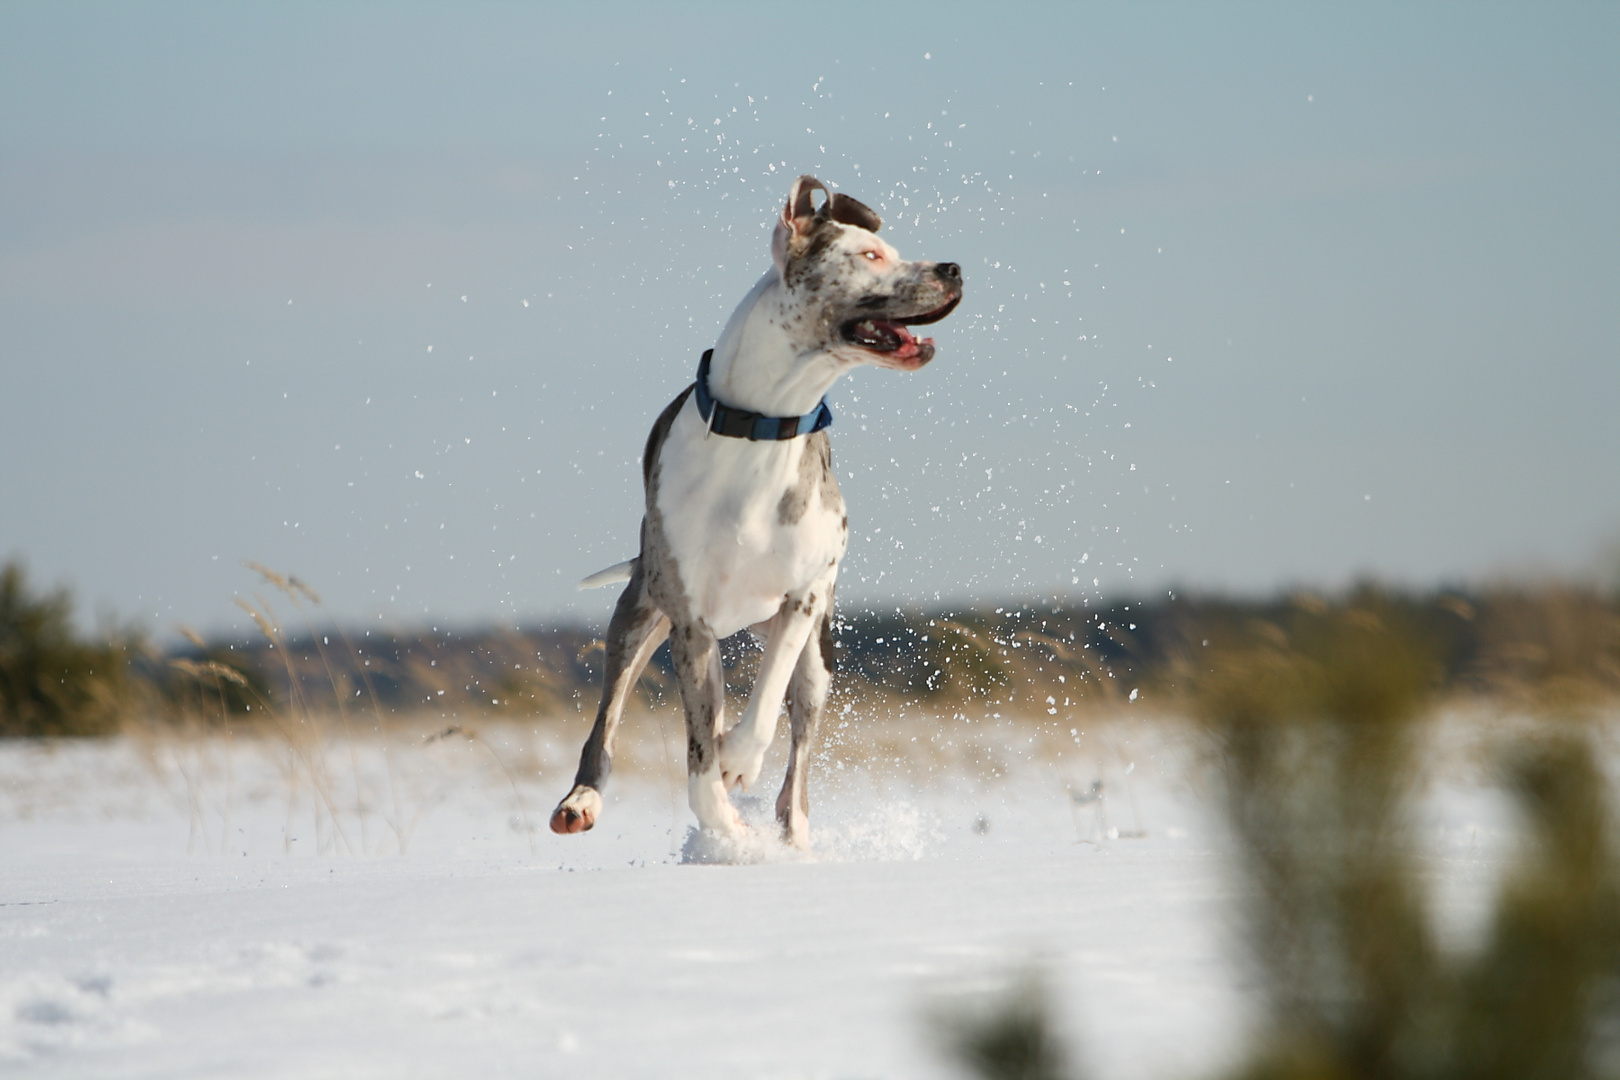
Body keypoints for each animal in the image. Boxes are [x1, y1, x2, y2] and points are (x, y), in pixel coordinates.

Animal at [550, 177, 965, 848]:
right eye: (870, 254)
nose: (953, 269)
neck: (761, 427)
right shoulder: (690, 624)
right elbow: (698, 768)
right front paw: (726, 826)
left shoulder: (804, 595)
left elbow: (763, 705)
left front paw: (738, 762)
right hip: (638, 617)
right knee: (606, 724)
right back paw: (582, 799)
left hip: (818, 665)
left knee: (795, 774)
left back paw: (792, 834)